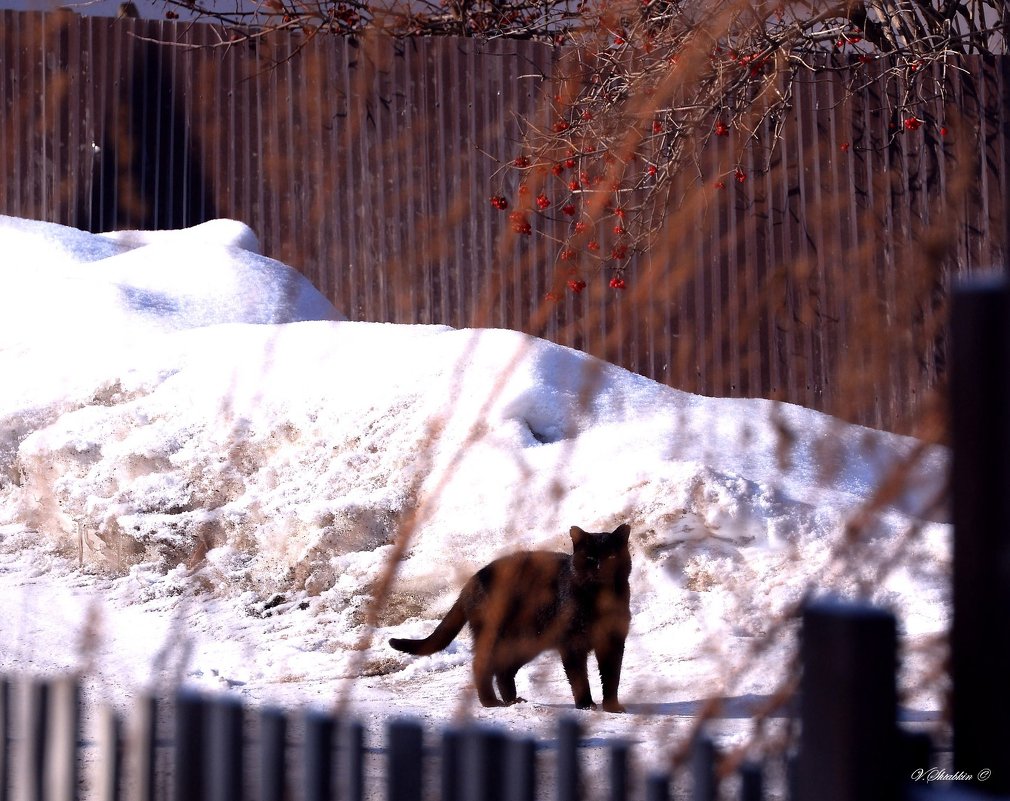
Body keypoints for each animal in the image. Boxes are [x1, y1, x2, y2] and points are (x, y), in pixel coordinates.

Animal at [387, 525, 630, 711]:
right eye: (590, 557)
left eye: (611, 555)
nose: (601, 567)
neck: (598, 600)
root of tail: (470, 582)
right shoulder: (572, 644)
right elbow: (579, 678)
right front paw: (586, 705)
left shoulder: (614, 642)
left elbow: (612, 676)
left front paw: (612, 707)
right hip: (501, 636)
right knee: (481, 665)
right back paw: (490, 702)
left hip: (526, 641)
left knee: (503, 669)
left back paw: (513, 700)